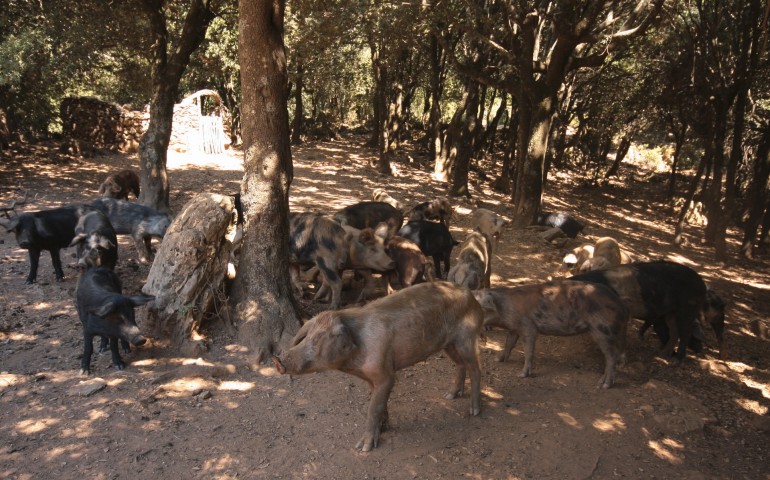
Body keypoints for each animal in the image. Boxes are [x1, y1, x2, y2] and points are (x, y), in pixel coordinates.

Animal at [272, 280, 484, 452]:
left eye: (318, 339)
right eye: (306, 337)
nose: (277, 360)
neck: (353, 362)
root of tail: (471, 295)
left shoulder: (385, 374)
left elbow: (374, 407)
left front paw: (363, 448)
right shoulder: (369, 377)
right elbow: (380, 403)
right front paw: (384, 428)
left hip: (466, 338)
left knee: (475, 368)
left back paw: (474, 411)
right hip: (449, 345)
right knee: (460, 365)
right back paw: (449, 396)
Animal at [472, 282, 628, 390]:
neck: (505, 309)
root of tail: (621, 304)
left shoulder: (528, 326)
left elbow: (528, 350)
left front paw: (522, 375)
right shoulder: (514, 328)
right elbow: (509, 343)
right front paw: (499, 359)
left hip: (602, 330)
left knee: (611, 356)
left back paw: (604, 385)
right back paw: (602, 381)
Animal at [568, 262, 712, 364]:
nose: (700, 348)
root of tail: (702, 284)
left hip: (688, 308)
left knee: (685, 333)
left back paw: (675, 361)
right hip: (670, 312)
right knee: (674, 330)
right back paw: (662, 353)